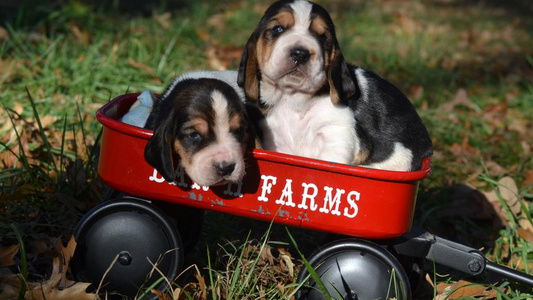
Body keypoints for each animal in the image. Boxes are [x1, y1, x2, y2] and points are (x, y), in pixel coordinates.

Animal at [237, 0, 432, 171]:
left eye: (322, 37)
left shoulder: (337, 134)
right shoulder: (275, 137)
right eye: (278, 29)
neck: (292, 99)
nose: (300, 53)